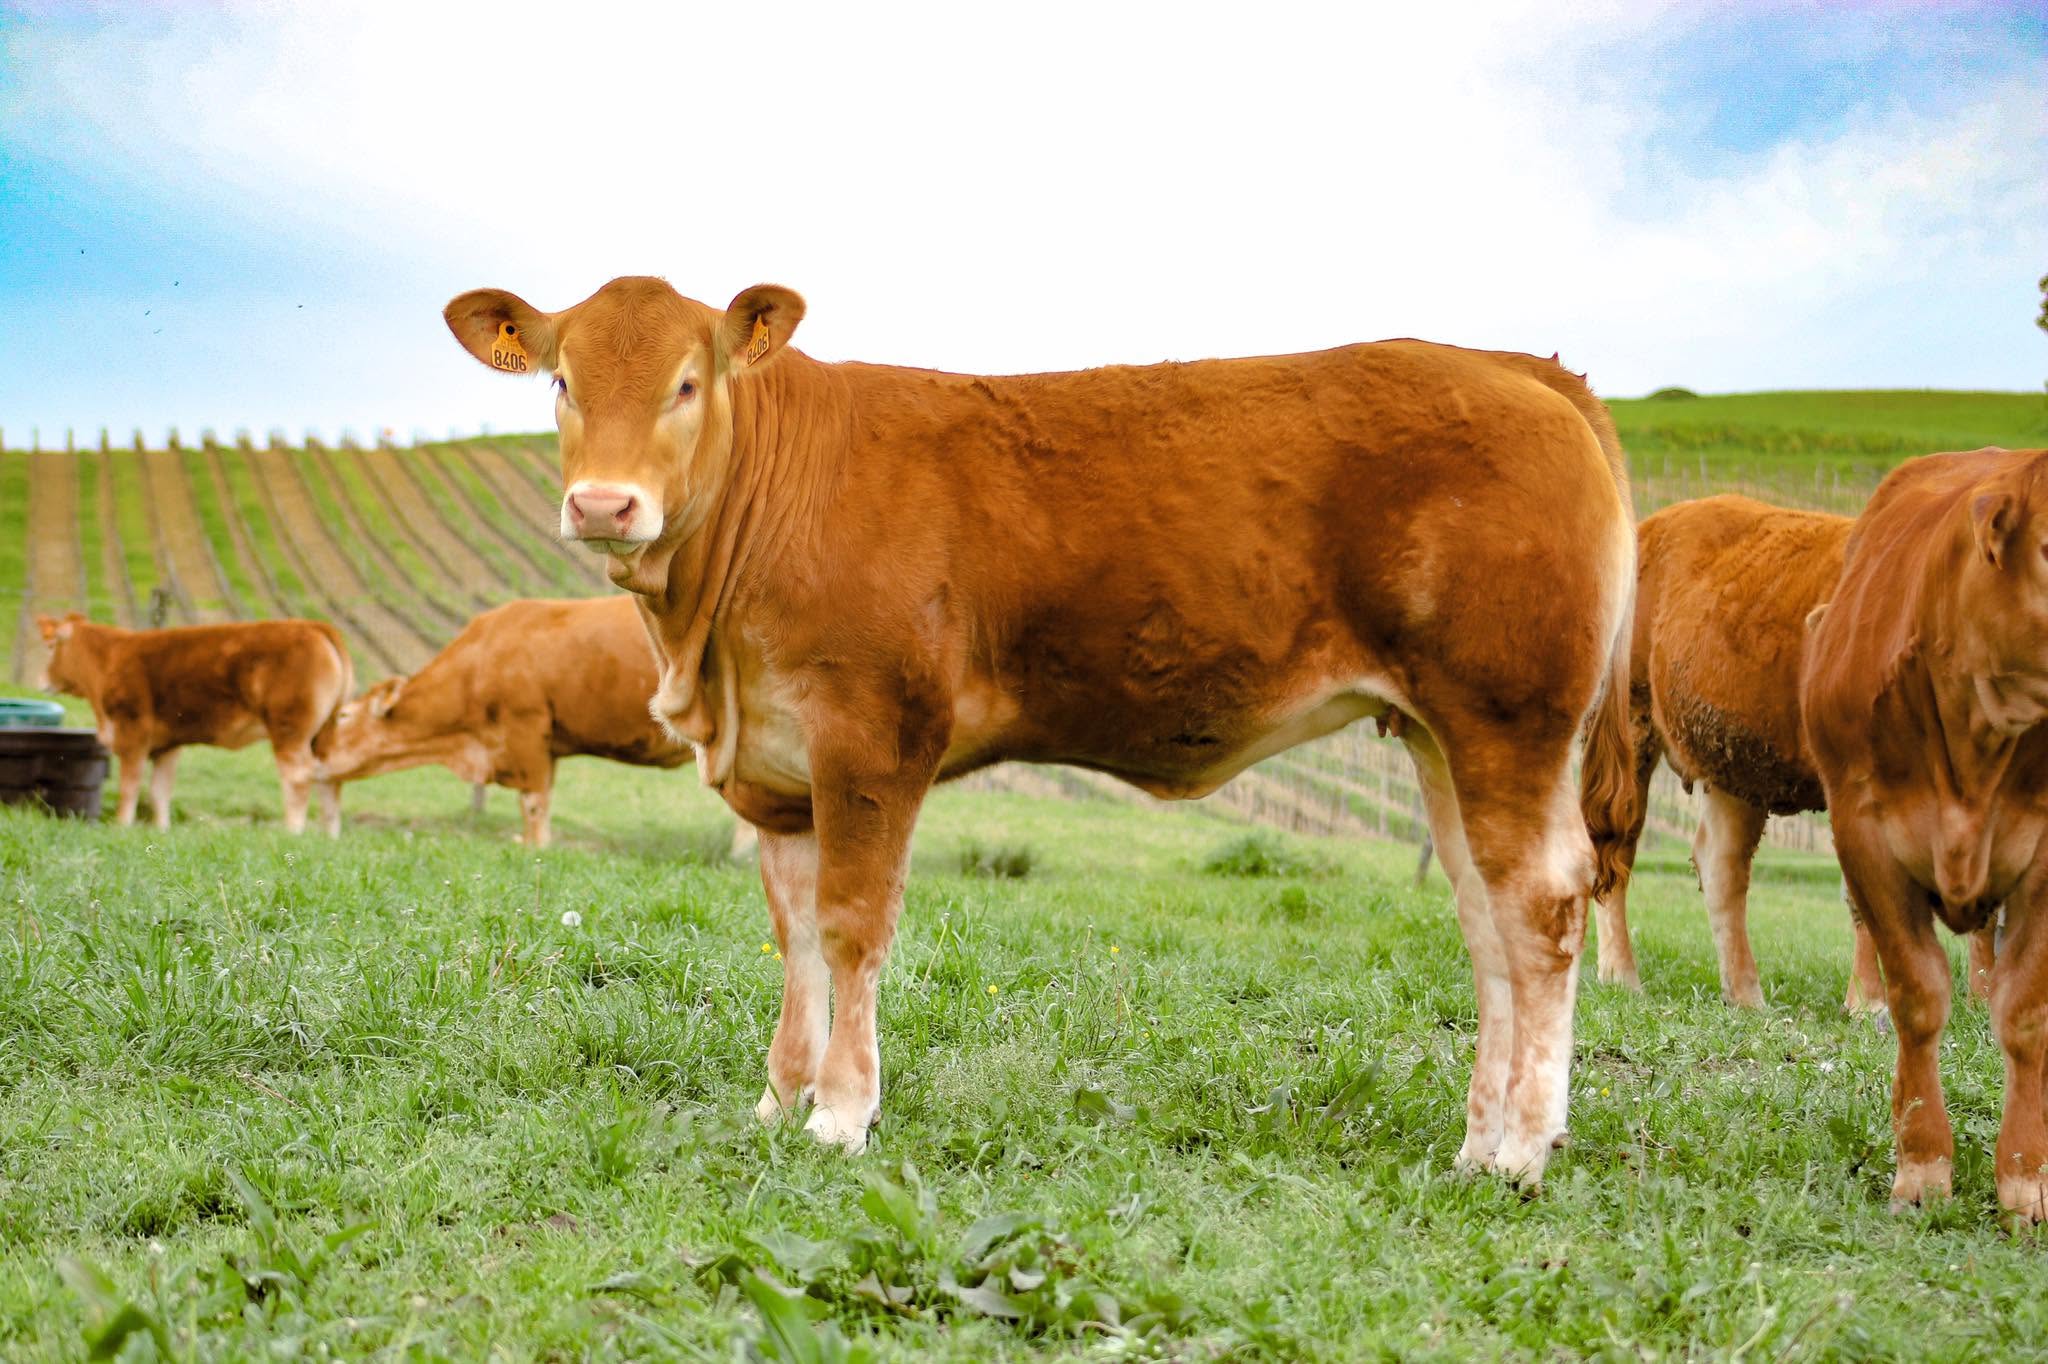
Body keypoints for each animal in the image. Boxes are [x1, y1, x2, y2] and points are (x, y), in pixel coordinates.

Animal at [33, 614, 351, 834]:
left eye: (50, 645)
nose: (40, 680)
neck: (109, 661)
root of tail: (312, 625)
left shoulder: (132, 733)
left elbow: (129, 787)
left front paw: (122, 825)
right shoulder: (168, 745)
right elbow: (159, 792)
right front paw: (161, 830)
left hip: (289, 730)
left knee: (298, 778)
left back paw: (292, 832)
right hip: (324, 733)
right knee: (328, 778)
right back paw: (329, 834)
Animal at [440, 276, 1637, 1185]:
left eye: (689, 383)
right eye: (562, 380)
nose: (604, 504)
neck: (712, 652)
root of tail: (1514, 365)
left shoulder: (870, 736)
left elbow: (850, 926)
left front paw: (841, 1113)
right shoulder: (776, 769)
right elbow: (792, 935)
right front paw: (780, 1096)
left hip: (1507, 715)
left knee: (1540, 903)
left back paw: (1522, 1150)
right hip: (1439, 730)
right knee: (1483, 916)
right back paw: (1476, 1141)